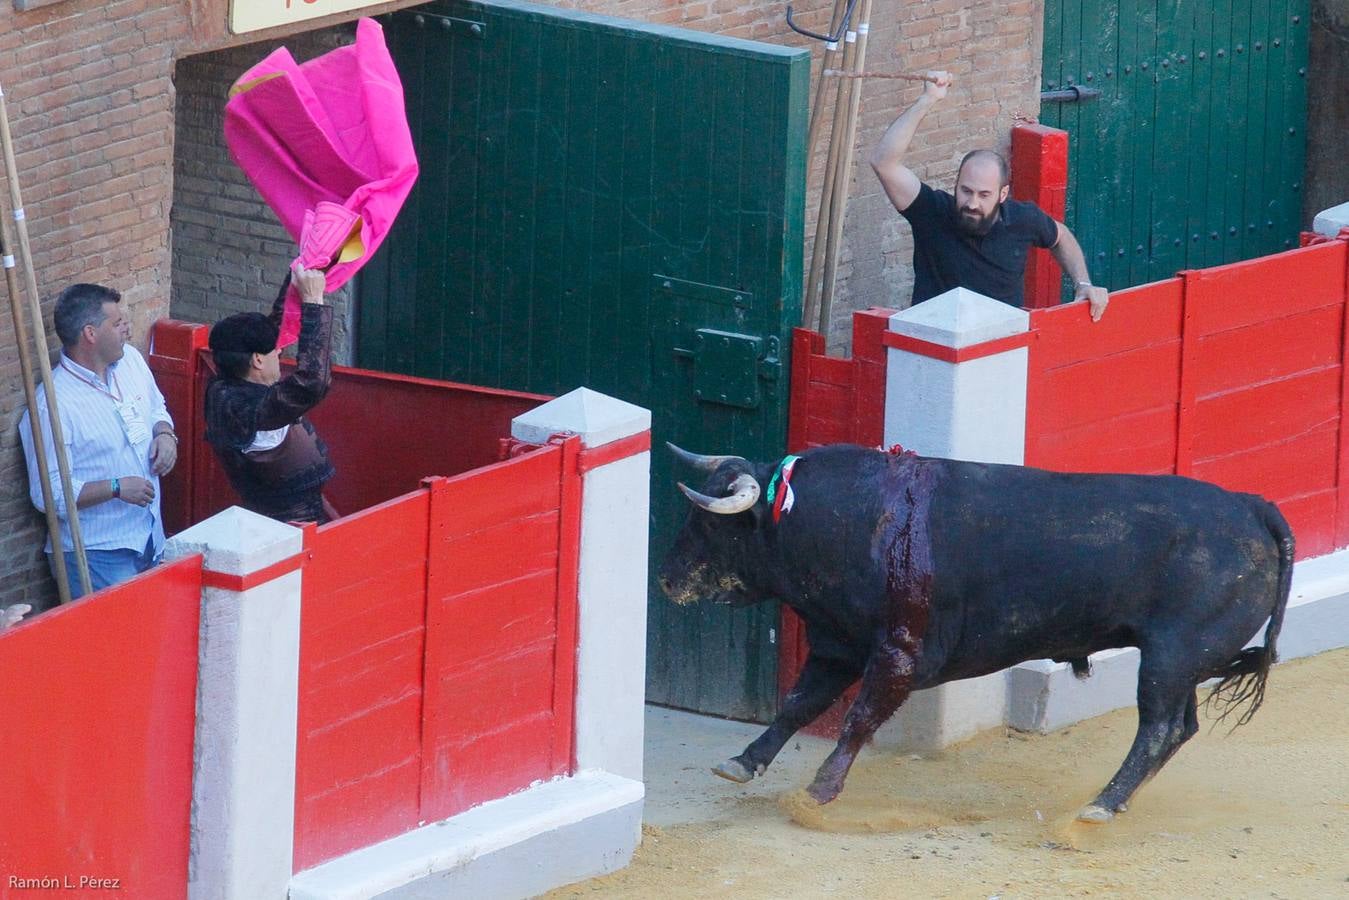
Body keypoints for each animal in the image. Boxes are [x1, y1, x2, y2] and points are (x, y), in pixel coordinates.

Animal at [658, 442, 1289, 825]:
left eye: (711, 526)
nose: (665, 578)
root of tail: (1252, 505)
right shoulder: (838, 646)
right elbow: (796, 705)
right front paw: (743, 762)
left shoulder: (899, 654)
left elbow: (857, 720)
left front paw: (817, 794)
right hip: (1183, 661)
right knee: (1180, 727)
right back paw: (1113, 804)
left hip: (1170, 657)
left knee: (1157, 729)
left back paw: (1098, 808)